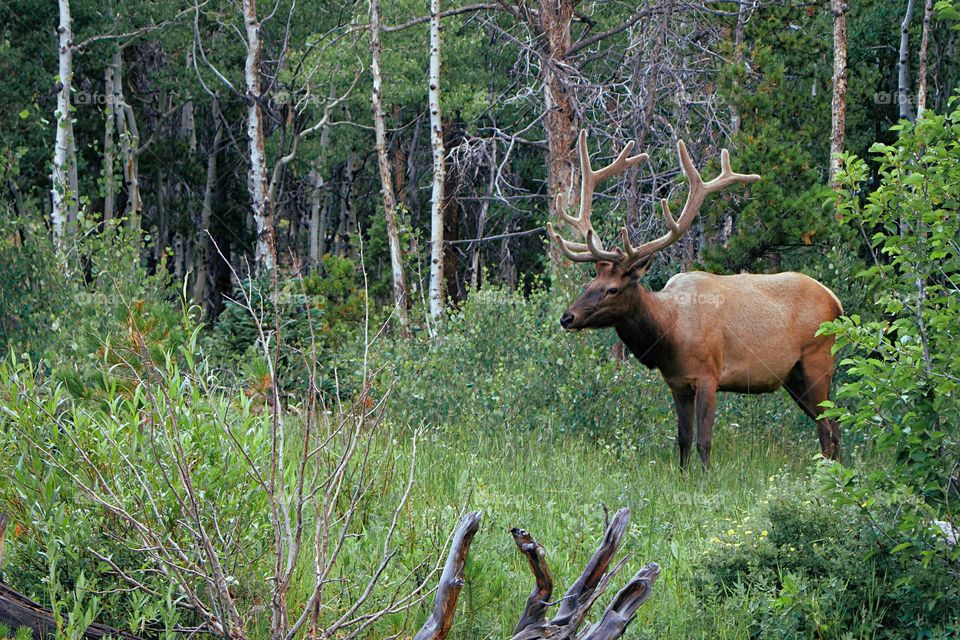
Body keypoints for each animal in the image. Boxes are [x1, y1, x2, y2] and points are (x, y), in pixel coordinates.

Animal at [547, 130, 844, 469]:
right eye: (590, 282)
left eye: (613, 289)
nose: (567, 317)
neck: (669, 335)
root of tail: (836, 303)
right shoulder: (677, 383)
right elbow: (683, 440)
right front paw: (684, 475)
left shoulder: (708, 376)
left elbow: (704, 440)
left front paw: (705, 477)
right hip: (793, 376)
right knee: (834, 425)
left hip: (817, 361)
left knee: (827, 428)